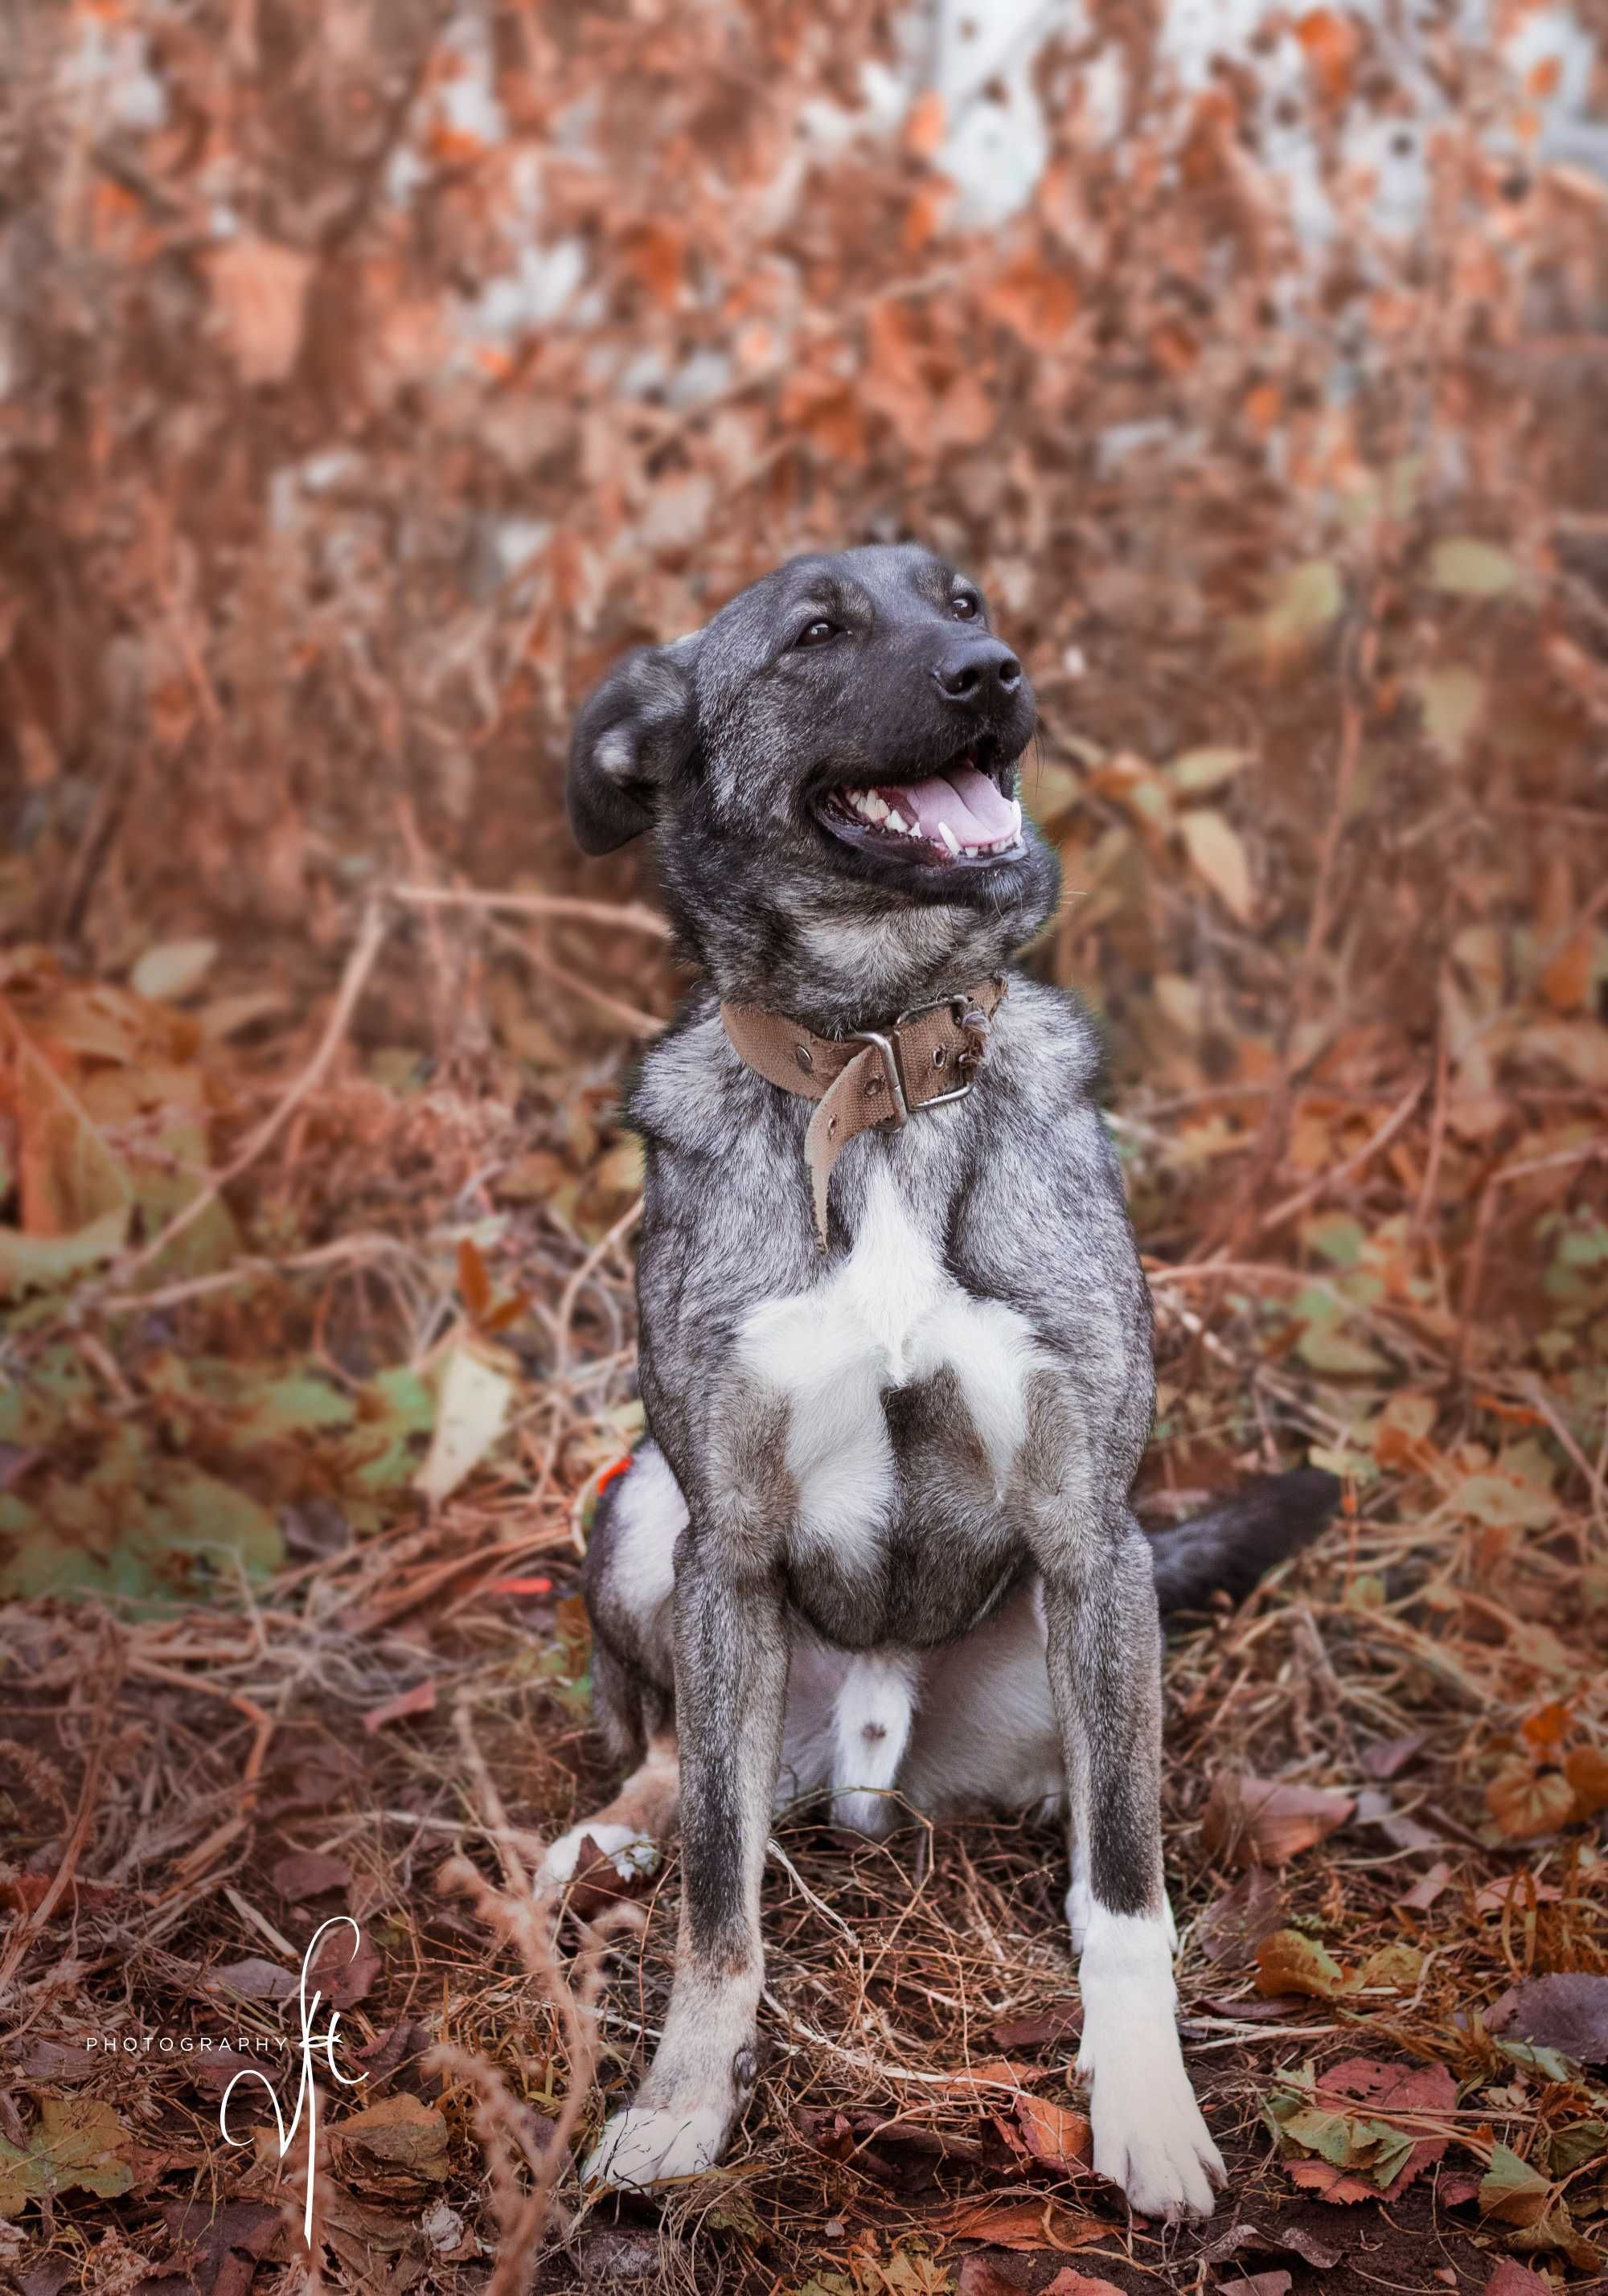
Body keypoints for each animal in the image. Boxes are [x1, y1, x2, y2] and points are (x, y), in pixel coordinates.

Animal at [547, 542, 1341, 2222]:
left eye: (964, 599)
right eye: (817, 632)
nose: (997, 676)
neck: (881, 1061)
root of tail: (859, 1755)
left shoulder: (1091, 1537)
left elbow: (1125, 1894)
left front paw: (1148, 2107)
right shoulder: (726, 1542)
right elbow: (717, 1903)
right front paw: (680, 2104)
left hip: (1091, 1641)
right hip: (646, 1517)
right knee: (681, 1766)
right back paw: (605, 1840)